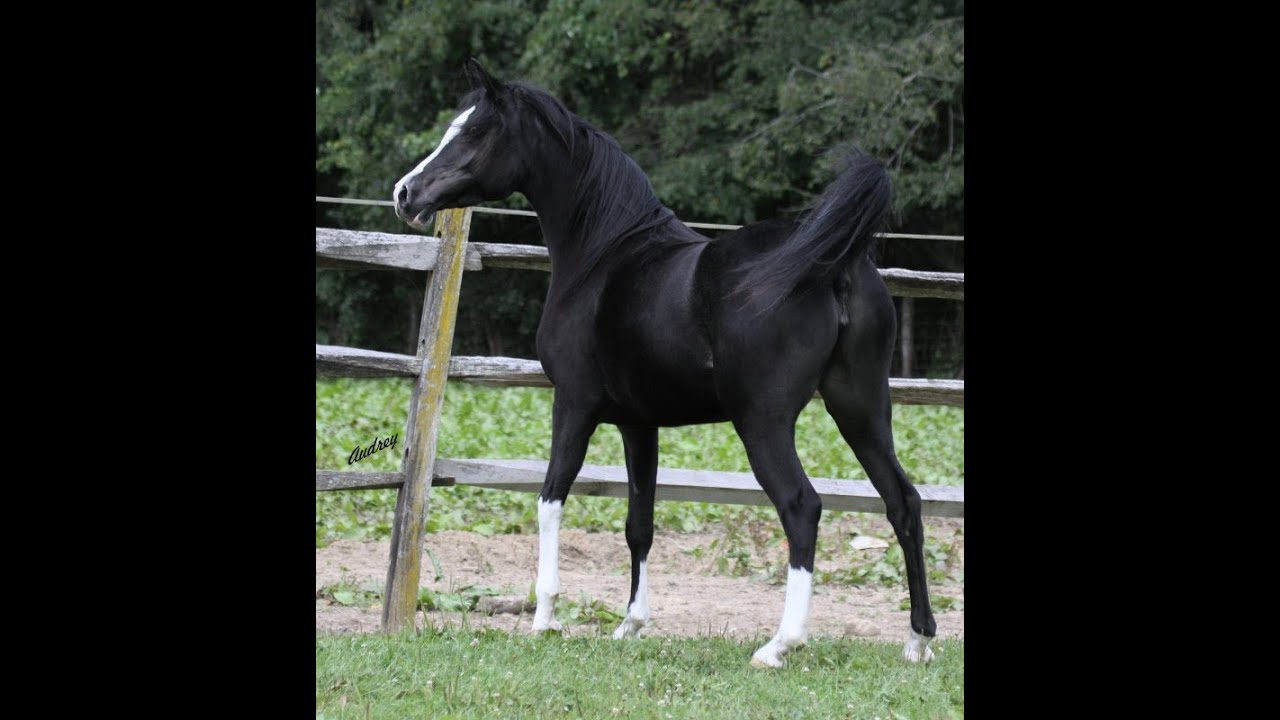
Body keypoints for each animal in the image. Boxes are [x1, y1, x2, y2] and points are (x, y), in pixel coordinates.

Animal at [394, 59, 936, 667]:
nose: (405, 193)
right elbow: (640, 523)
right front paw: (630, 624)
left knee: (802, 507)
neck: (604, 250)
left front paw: (544, 618)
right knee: (903, 502)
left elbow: (550, 499)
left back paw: (779, 645)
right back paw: (917, 640)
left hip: (765, 422)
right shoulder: (639, 424)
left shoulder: (573, 406)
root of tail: (833, 264)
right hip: (860, 408)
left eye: (475, 131)